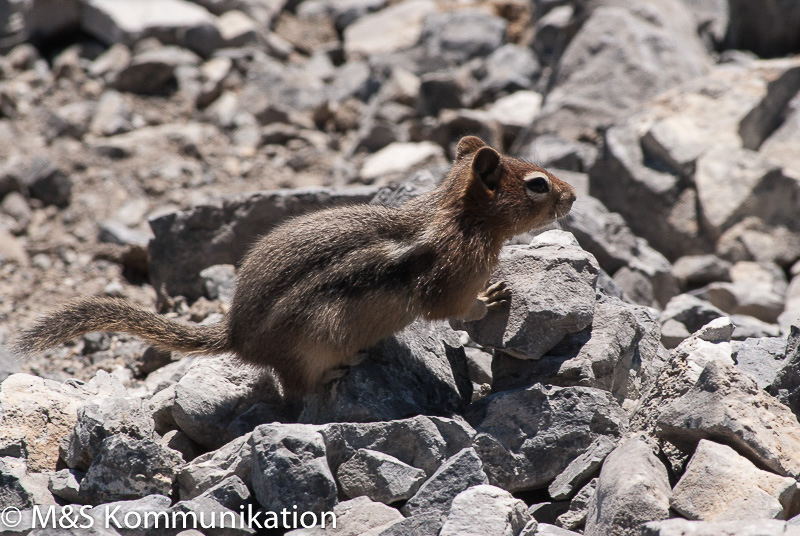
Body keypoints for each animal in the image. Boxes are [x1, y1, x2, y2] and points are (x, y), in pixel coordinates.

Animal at [14, 135, 576, 394]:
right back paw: (335, 375)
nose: (572, 196)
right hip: (312, 344)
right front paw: (491, 299)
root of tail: (237, 337)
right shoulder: (452, 273)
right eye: (537, 184)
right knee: (295, 390)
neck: (458, 215)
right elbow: (450, 308)